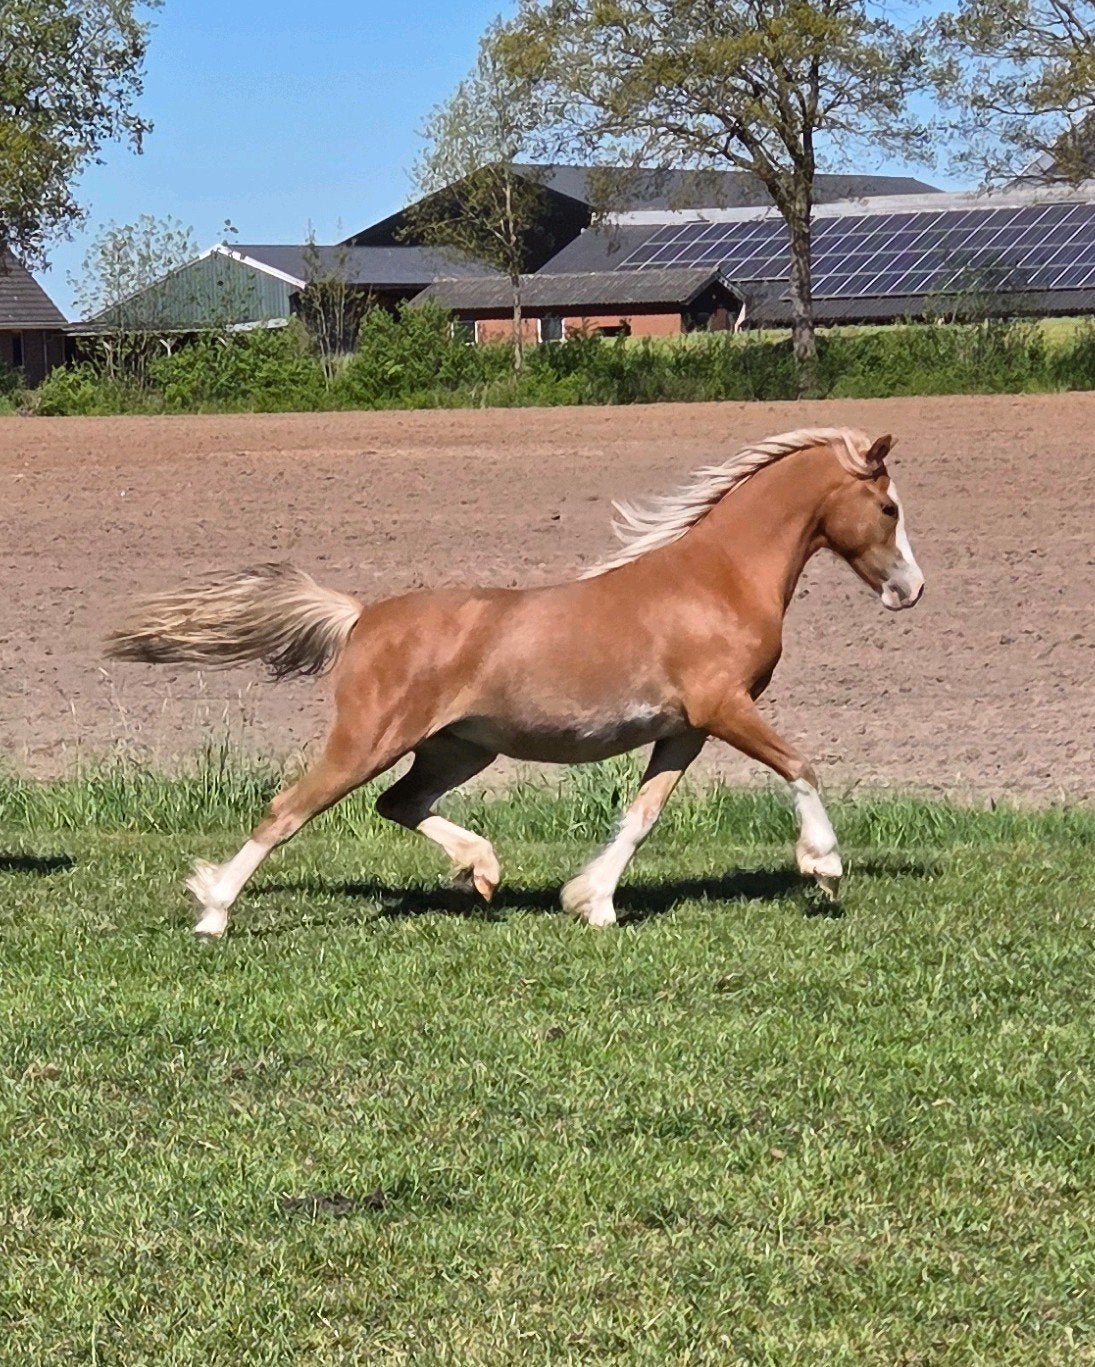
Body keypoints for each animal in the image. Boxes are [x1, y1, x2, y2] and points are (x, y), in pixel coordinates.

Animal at [104, 426, 924, 936]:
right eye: (887, 507)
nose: (911, 591)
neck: (715, 579)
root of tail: (362, 616)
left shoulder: (685, 729)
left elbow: (642, 815)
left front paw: (592, 902)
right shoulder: (723, 707)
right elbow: (800, 764)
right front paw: (824, 868)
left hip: (458, 748)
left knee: (397, 803)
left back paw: (484, 870)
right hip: (368, 739)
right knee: (288, 810)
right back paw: (213, 912)